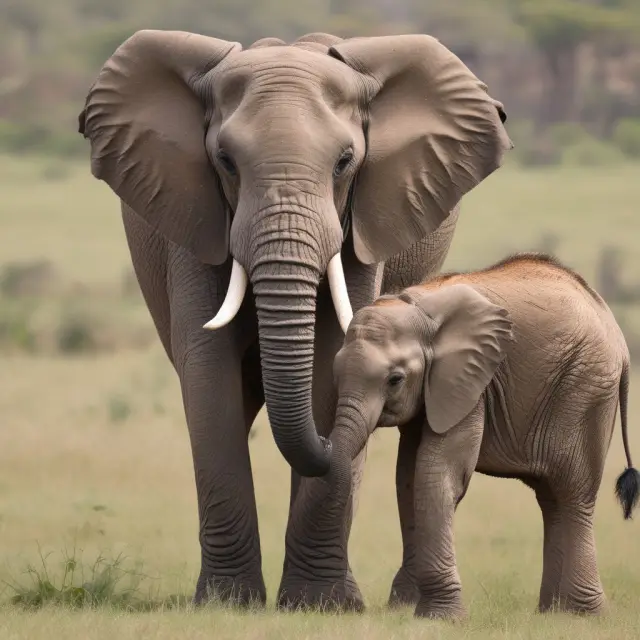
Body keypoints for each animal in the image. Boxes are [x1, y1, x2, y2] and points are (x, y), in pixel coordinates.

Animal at [78, 29, 512, 609]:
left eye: (345, 161)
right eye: (225, 161)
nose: (328, 447)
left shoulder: (362, 225)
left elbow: (332, 358)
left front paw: (320, 604)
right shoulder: (193, 218)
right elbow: (207, 372)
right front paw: (227, 603)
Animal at [304, 252, 639, 619]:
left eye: (395, 379)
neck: (416, 308)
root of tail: (618, 337)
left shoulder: (472, 384)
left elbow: (436, 472)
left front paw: (438, 618)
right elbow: (408, 476)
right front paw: (405, 607)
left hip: (586, 389)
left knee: (572, 492)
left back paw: (582, 614)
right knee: (551, 498)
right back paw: (553, 612)